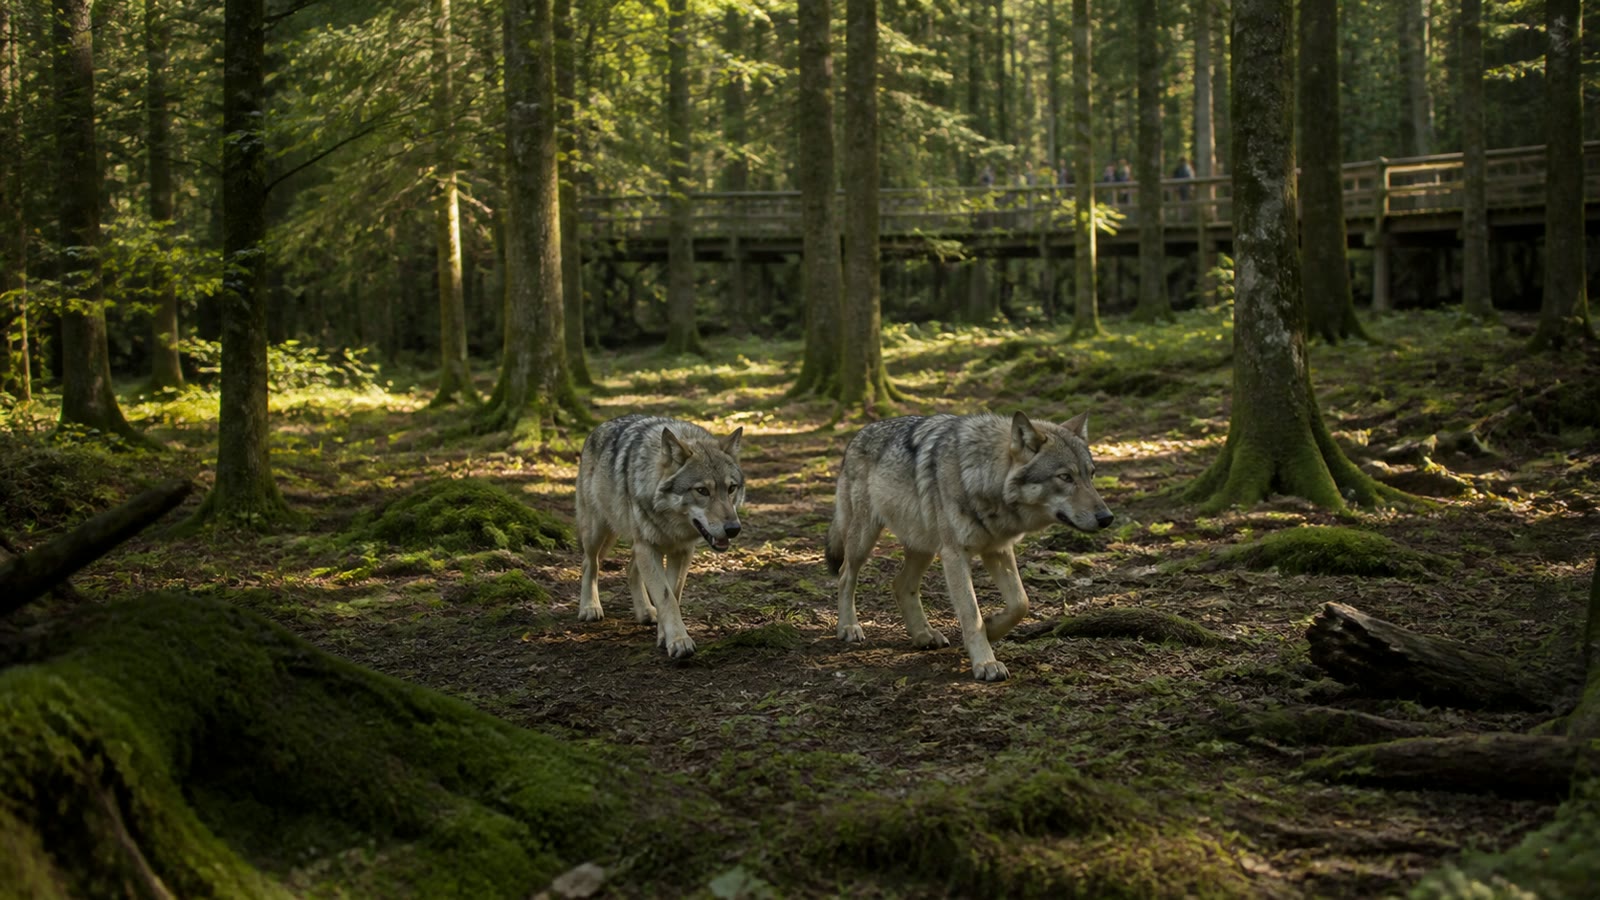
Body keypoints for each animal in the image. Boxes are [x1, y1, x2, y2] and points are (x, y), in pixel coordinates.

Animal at [575, 414, 745, 659]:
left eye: (731, 488)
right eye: (702, 491)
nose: (733, 528)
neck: (671, 522)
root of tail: (600, 426)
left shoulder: (682, 551)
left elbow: (672, 594)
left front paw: (665, 636)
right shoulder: (648, 548)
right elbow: (666, 596)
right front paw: (679, 641)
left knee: (630, 568)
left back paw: (645, 612)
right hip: (598, 530)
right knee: (590, 563)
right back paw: (590, 607)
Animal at [826, 411, 1113, 682]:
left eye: (1091, 475)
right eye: (1065, 477)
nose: (1107, 517)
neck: (983, 478)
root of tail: (859, 433)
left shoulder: (998, 550)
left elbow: (1021, 603)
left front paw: (992, 627)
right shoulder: (955, 555)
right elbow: (971, 613)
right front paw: (986, 663)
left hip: (924, 546)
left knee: (900, 584)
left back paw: (923, 634)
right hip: (865, 538)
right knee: (845, 575)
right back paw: (849, 627)